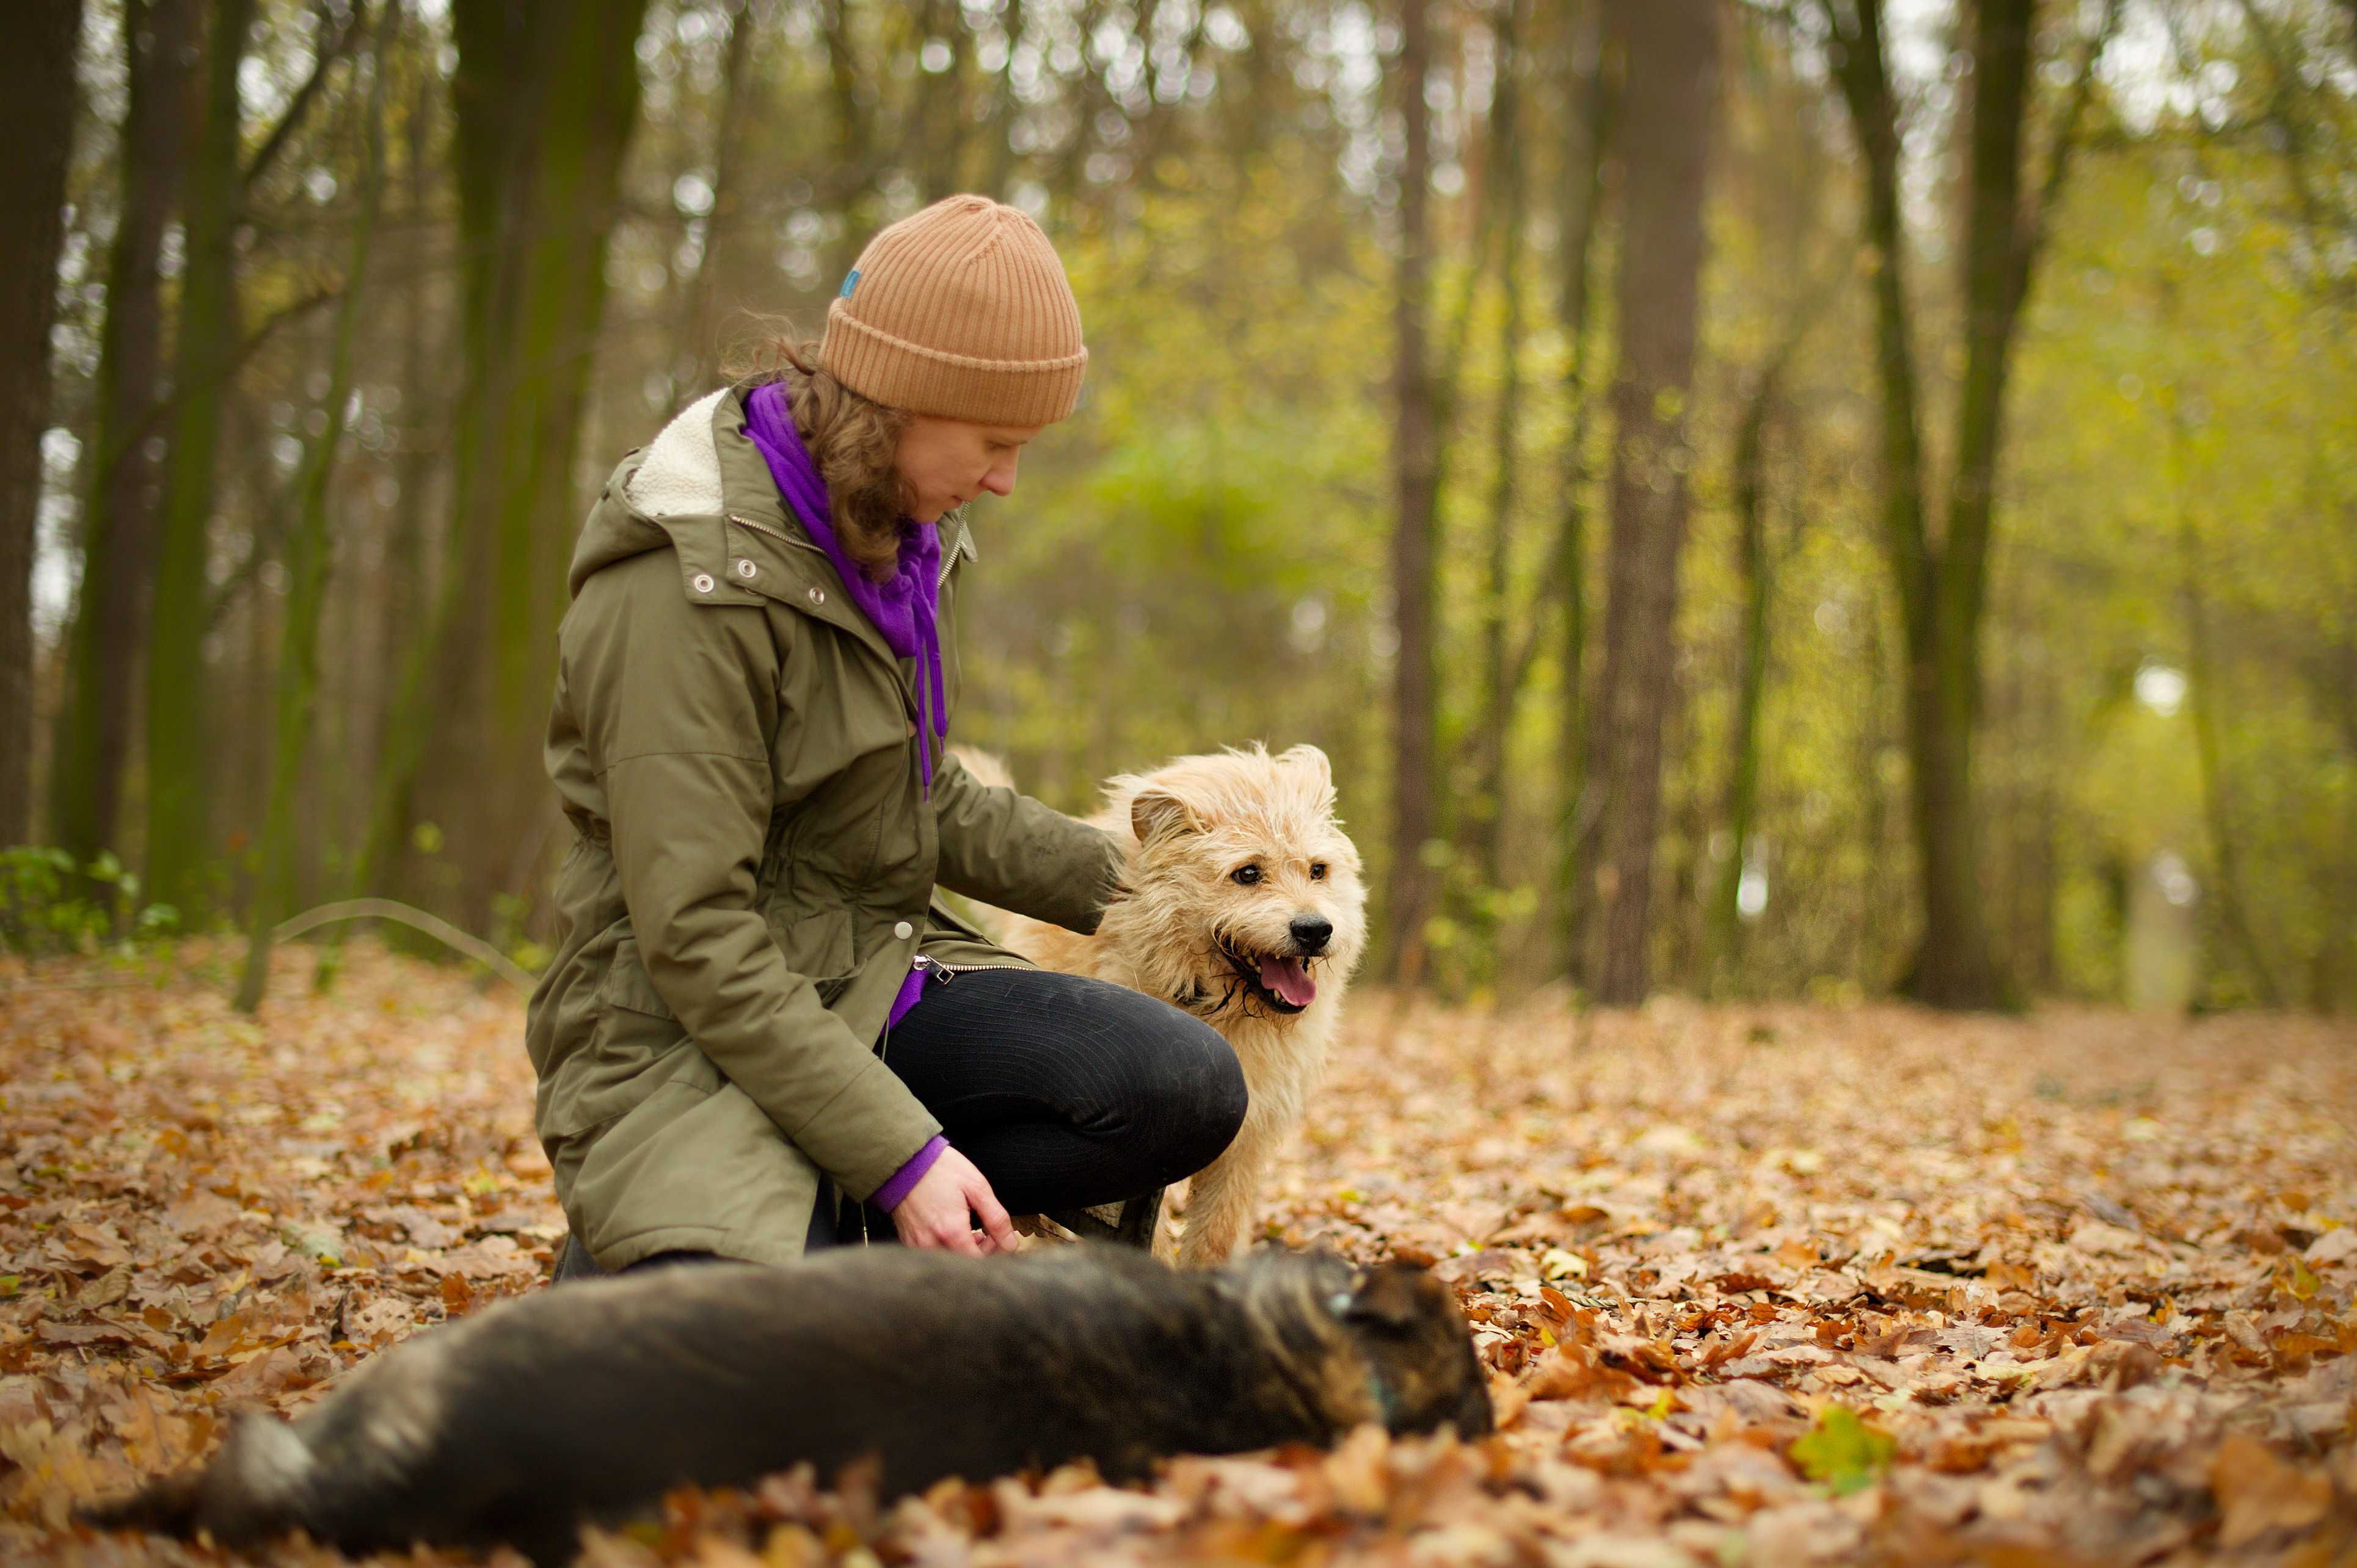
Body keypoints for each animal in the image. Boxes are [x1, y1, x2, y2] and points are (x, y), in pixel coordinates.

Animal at [952, 740, 1376, 1263]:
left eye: (1318, 870)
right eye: (1247, 873)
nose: (1315, 930)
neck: (1214, 1007)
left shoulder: (1245, 1142)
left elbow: (1216, 1232)